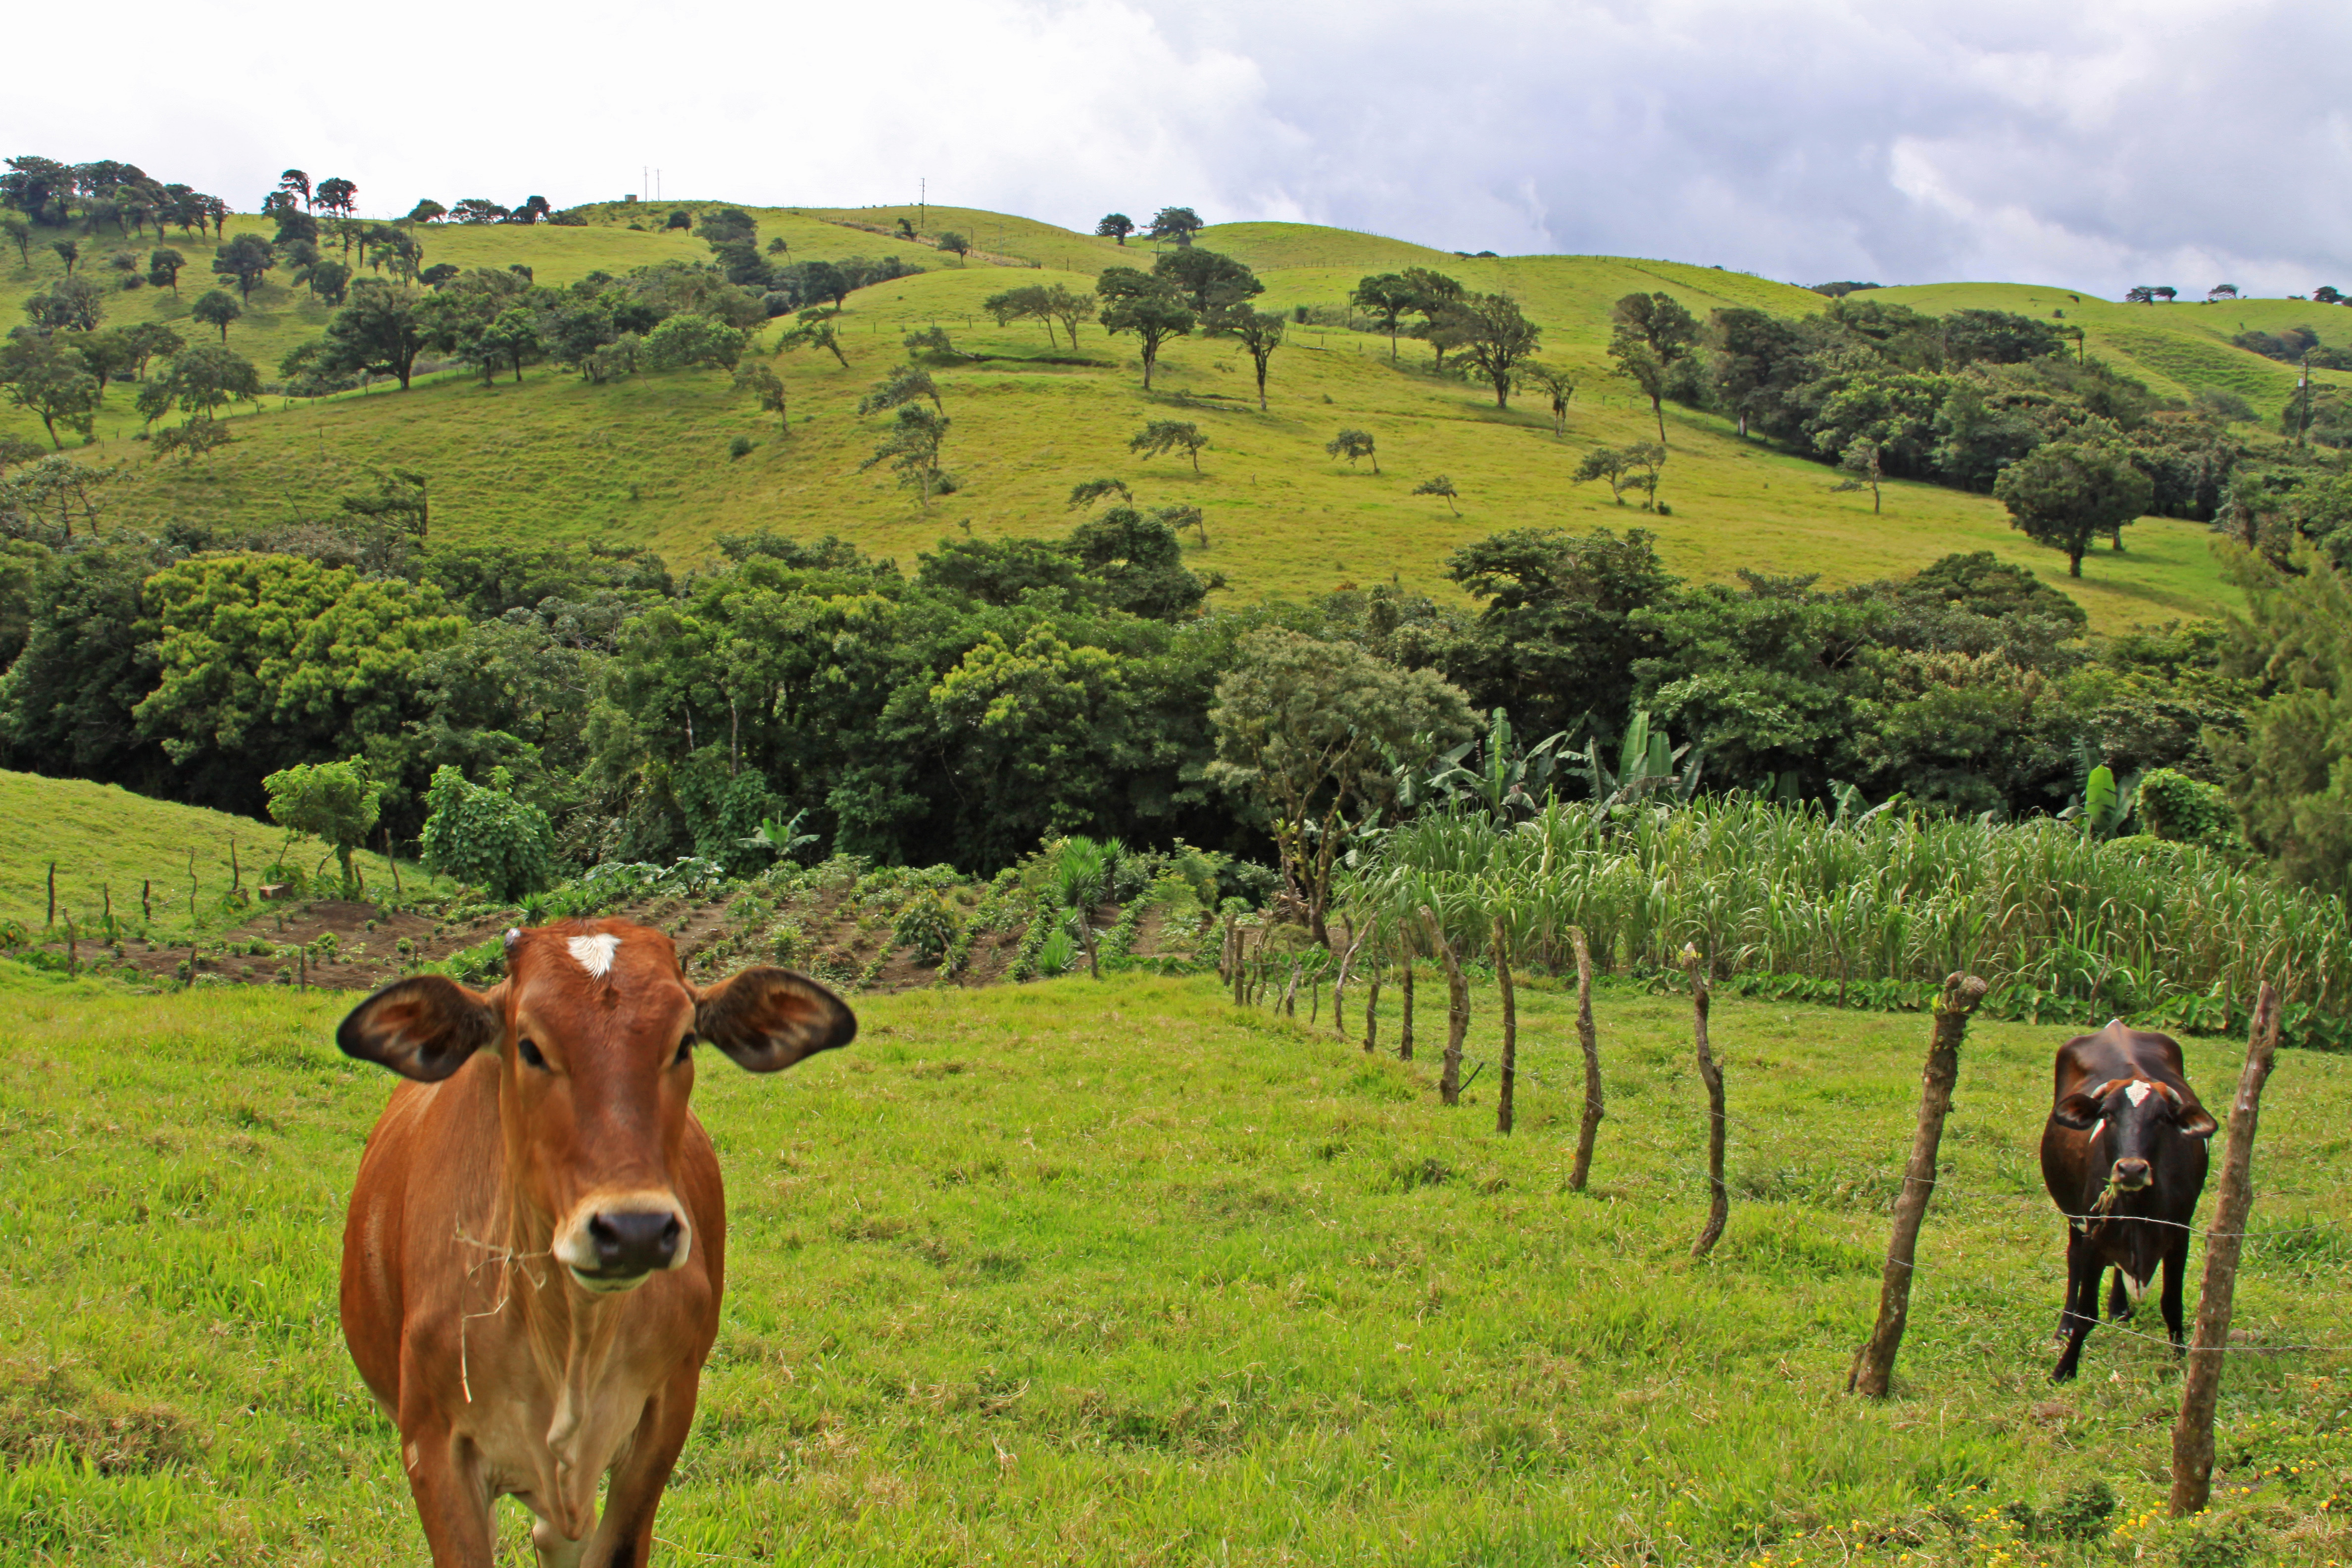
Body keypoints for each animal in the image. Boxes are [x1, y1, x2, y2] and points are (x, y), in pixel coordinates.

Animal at [335, 918, 855, 1566]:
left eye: (685, 1042)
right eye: (529, 1047)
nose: (634, 1232)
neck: (571, 1333)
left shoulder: (664, 1417)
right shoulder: (432, 1444)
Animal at [2038, 1020, 2217, 1382]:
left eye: (2163, 1118)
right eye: (2107, 1114)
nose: (2132, 1169)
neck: (2140, 1212)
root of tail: (2116, 1025)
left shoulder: (2179, 1235)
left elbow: (2172, 1303)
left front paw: (2179, 1358)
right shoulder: (2095, 1233)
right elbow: (2086, 1313)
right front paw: (2064, 1368)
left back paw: (2119, 1307)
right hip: (2076, 1218)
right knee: (2073, 1261)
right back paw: (2064, 1326)